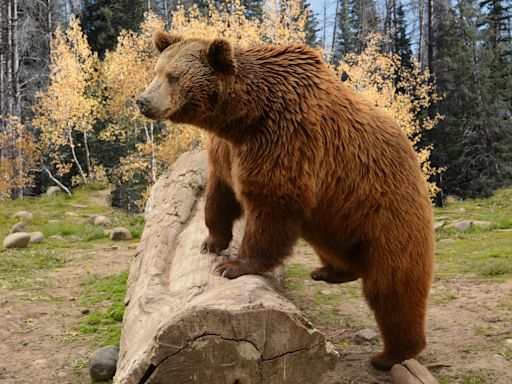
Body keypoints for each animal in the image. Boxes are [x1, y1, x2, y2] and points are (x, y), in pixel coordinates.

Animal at [138, 31, 434, 370]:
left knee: (393, 288)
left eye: (173, 77)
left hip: (386, 210)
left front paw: (233, 265)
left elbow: (271, 206)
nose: (143, 101)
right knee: (335, 247)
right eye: (157, 71)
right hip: (336, 216)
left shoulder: (285, 140)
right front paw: (211, 242)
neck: (244, 118)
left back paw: (390, 354)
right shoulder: (227, 150)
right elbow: (219, 195)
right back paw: (330, 271)